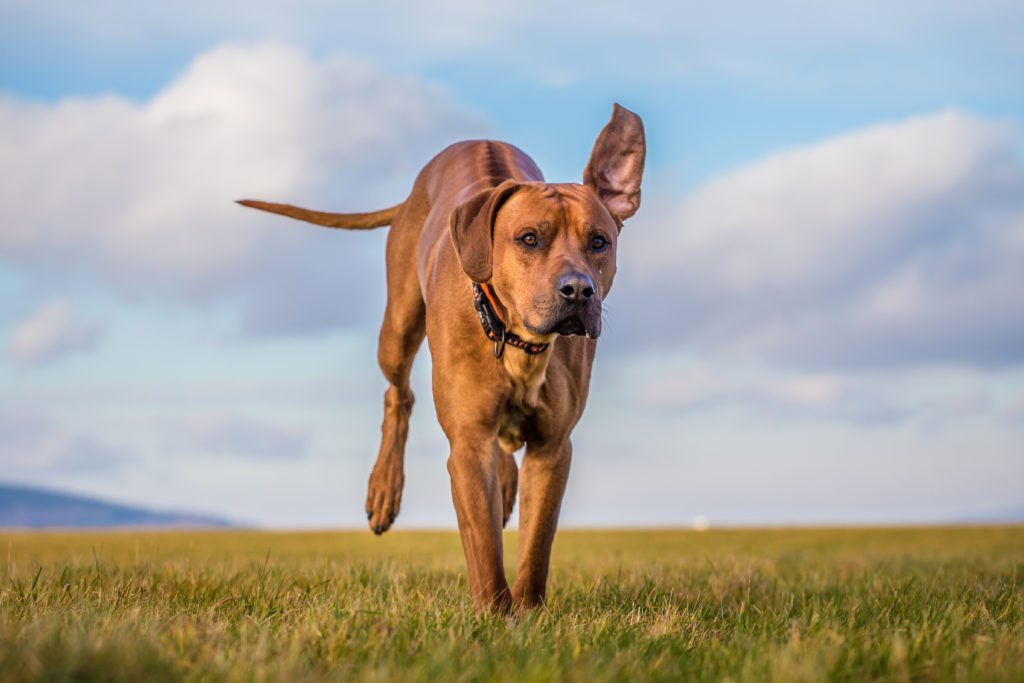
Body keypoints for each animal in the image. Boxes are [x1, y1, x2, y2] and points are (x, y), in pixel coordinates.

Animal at [235, 107, 643, 614]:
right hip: (397, 327)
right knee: (399, 394)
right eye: (529, 239)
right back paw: (385, 488)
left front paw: (528, 614)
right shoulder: (467, 446)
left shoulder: (552, 449)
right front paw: (496, 617)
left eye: (599, 242)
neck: (517, 343)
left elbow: (535, 545)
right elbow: (484, 547)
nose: (578, 291)